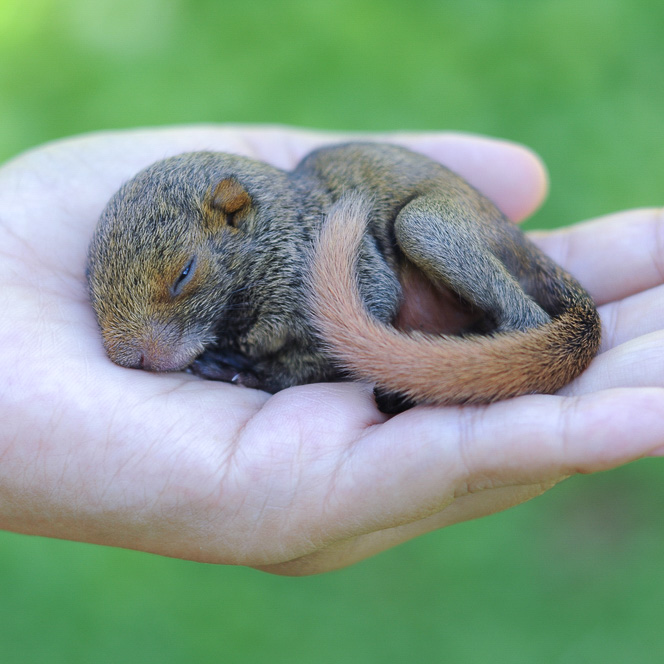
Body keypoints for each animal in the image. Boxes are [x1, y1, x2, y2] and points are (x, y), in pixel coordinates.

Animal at [86, 142, 601, 413]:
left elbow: (347, 332)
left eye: (184, 274)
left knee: (526, 319)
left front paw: (255, 373)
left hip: (426, 226)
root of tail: (516, 239)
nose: (133, 358)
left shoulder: (324, 259)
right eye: (92, 287)